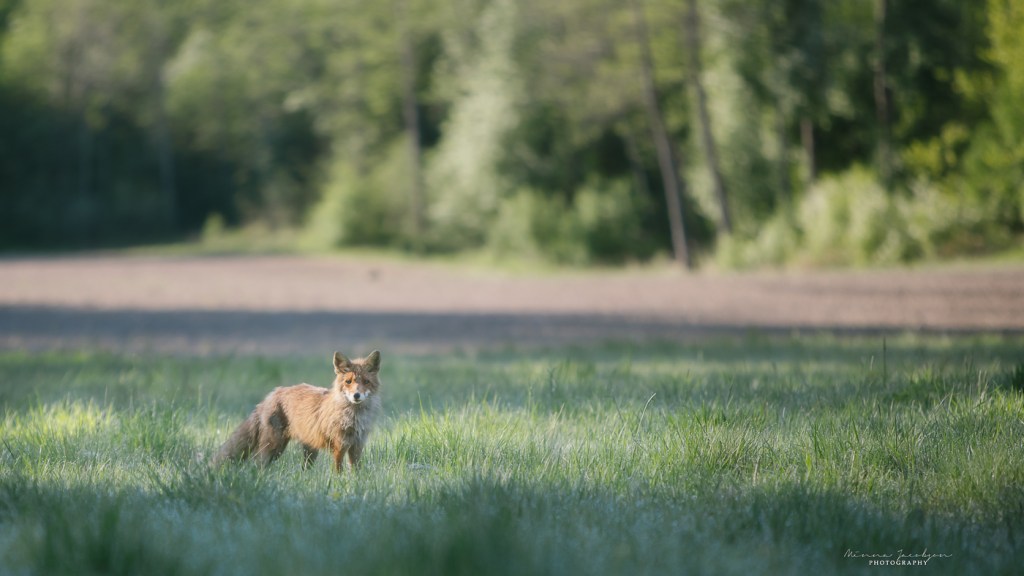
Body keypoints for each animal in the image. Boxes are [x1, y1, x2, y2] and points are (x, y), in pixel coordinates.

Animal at [212, 350, 382, 472]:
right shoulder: (339, 446)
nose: (356, 395)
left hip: (308, 450)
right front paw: (339, 484)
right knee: (257, 463)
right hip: (274, 446)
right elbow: (338, 471)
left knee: (303, 470)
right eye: (348, 382)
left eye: (366, 382)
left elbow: (356, 471)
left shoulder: (357, 446)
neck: (354, 417)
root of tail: (273, 393)